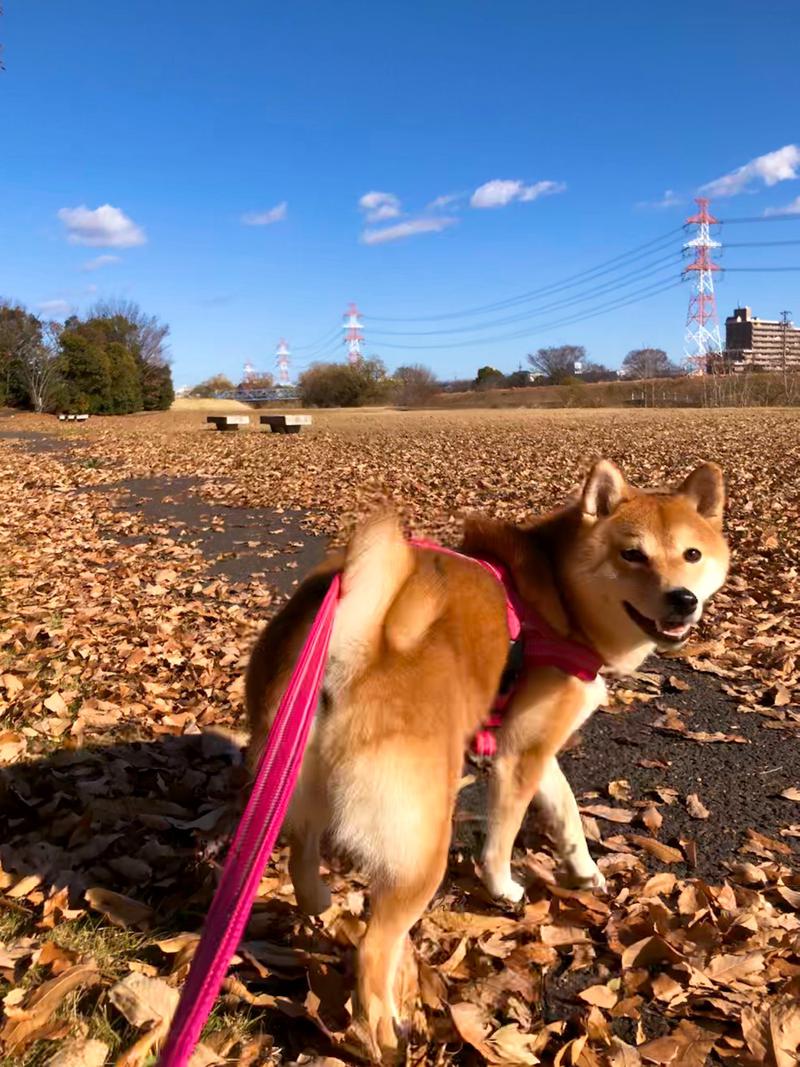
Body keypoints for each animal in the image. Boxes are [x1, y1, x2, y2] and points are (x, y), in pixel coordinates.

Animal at [246, 456, 733, 1049]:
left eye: (692, 554)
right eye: (632, 554)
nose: (682, 598)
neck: (559, 602)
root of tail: (351, 647)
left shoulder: (532, 750)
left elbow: (568, 814)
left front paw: (585, 872)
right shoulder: (518, 756)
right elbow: (502, 837)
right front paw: (503, 887)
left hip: (298, 782)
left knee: (300, 854)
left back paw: (318, 903)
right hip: (422, 845)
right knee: (372, 951)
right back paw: (387, 1034)